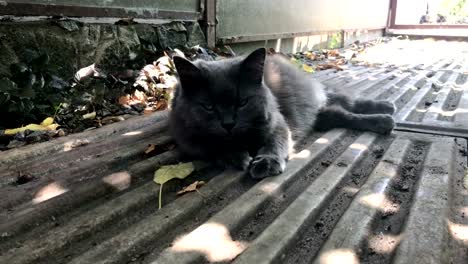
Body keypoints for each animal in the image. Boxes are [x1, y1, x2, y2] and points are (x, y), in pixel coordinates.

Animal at [169, 48, 394, 178]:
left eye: (242, 102)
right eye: (208, 106)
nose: (228, 124)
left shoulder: (277, 123)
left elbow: (274, 143)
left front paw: (267, 162)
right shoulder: (188, 140)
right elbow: (213, 146)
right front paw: (236, 156)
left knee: (352, 103)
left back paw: (386, 111)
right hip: (326, 115)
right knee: (343, 114)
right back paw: (383, 119)